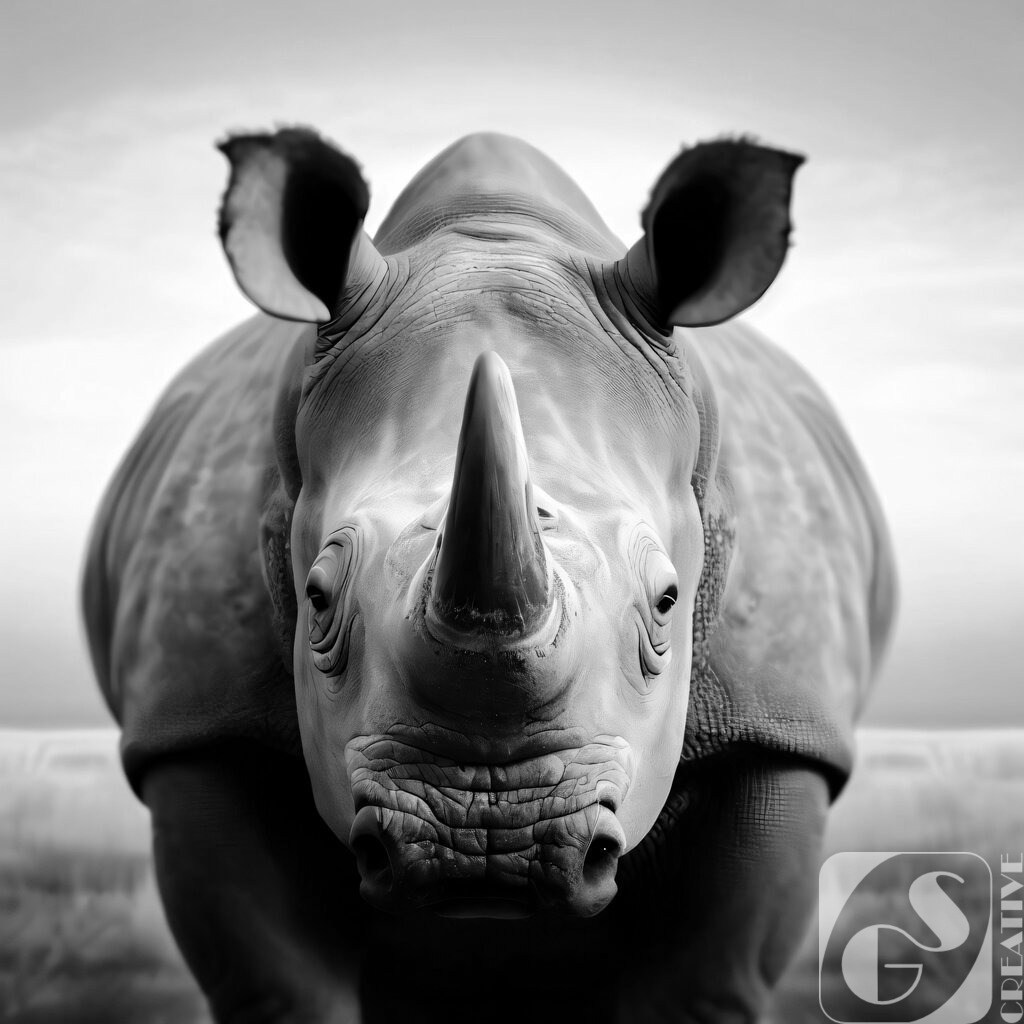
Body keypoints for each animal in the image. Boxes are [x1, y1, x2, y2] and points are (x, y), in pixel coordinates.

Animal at [83, 128, 896, 1023]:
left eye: (668, 600)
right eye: (317, 598)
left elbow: (703, 985)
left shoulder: (778, 726)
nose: (488, 842)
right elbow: (281, 985)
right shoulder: (196, 721)